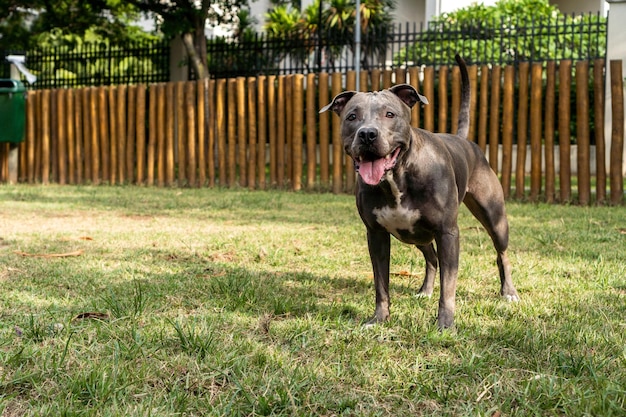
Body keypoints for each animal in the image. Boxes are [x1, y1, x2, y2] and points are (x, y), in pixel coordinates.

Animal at [320, 55, 520, 328]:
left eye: (390, 114)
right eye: (352, 117)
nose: (368, 134)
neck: (397, 176)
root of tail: (463, 140)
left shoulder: (447, 233)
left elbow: (449, 286)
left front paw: (445, 323)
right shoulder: (376, 235)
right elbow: (381, 284)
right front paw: (379, 319)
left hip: (494, 218)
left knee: (502, 254)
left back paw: (508, 292)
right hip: (415, 234)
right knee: (431, 257)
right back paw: (425, 290)